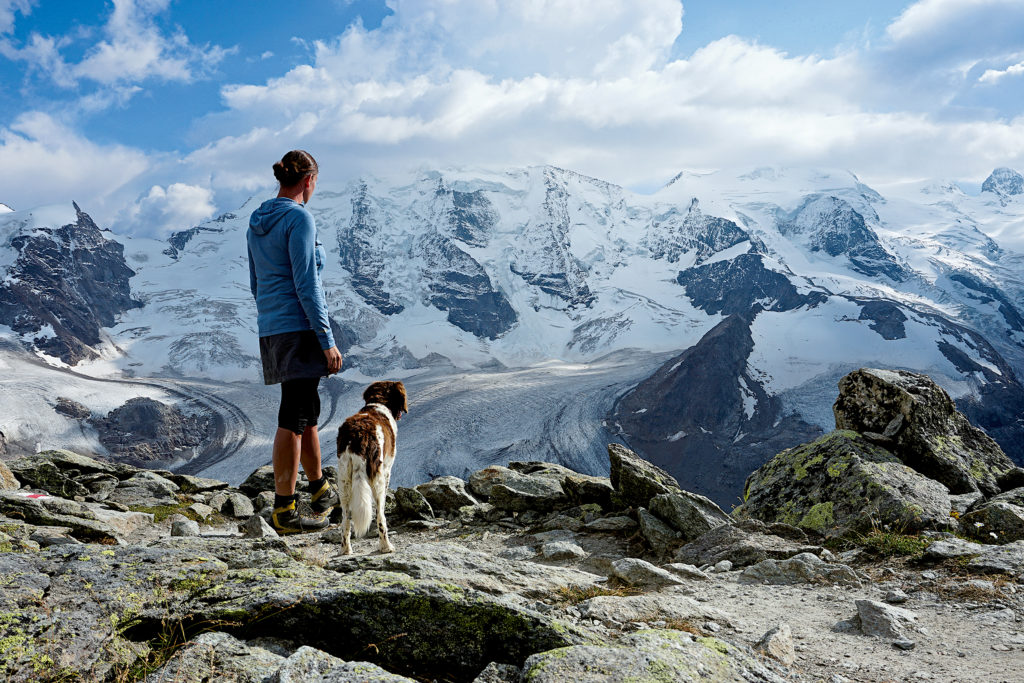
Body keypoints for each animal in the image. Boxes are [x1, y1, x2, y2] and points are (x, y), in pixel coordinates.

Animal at [331, 382, 403, 552]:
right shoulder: (387, 470)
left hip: (344, 477)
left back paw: (345, 549)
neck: (378, 404)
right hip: (377, 478)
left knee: (345, 517)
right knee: (380, 515)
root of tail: (356, 436)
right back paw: (386, 546)